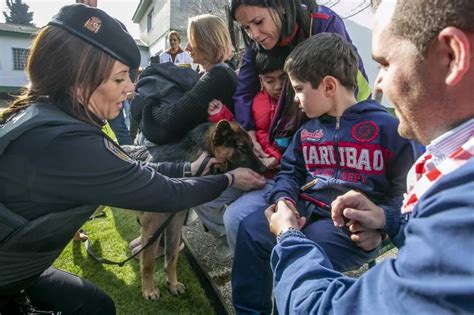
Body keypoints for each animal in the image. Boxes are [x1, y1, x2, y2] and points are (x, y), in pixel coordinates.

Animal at [128, 121, 264, 302]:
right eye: (242, 147)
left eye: (252, 146)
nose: (264, 168)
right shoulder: (153, 224)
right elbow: (149, 262)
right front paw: (149, 290)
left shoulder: (175, 221)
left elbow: (172, 256)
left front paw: (172, 284)